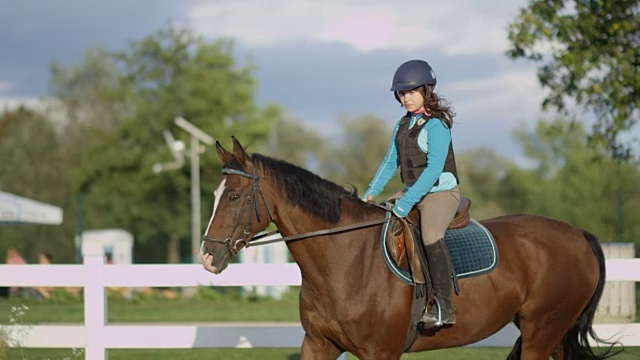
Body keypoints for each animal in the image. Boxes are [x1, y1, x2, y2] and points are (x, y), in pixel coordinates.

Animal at [200, 136, 620, 358]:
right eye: (216, 194)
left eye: (234, 196)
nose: (207, 256)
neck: (346, 260)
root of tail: (577, 234)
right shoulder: (319, 344)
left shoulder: (379, 353)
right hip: (549, 333)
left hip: (541, 331)